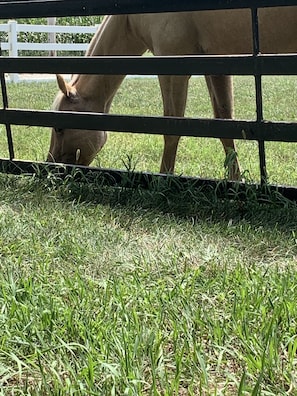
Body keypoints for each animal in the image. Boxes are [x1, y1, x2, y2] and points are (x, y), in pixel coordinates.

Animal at [46, 6, 296, 179]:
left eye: (59, 127)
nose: (50, 168)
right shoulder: (216, 64)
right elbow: (225, 125)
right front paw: (236, 182)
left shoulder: (172, 67)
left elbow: (172, 127)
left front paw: (165, 177)